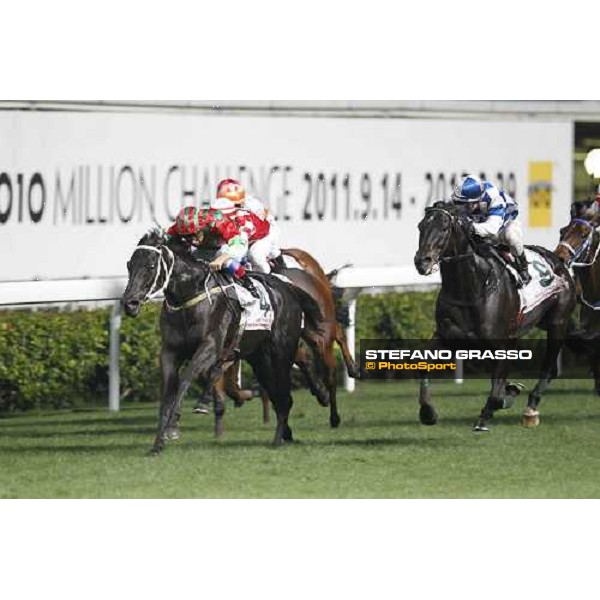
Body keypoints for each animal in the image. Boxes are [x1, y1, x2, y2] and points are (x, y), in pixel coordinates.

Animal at [119, 229, 322, 450]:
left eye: (150, 266)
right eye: (129, 265)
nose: (129, 303)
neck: (189, 296)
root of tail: (289, 288)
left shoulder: (210, 345)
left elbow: (186, 378)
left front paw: (173, 426)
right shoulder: (170, 352)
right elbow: (169, 392)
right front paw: (159, 441)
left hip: (281, 355)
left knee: (285, 396)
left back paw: (280, 437)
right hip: (260, 360)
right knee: (278, 395)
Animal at [412, 204, 576, 428]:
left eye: (445, 228)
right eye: (421, 226)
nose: (422, 261)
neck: (471, 289)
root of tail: (558, 260)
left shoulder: (505, 342)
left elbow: (497, 395)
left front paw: (489, 412)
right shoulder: (448, 337)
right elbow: (423, 365)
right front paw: (428, 411)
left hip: (557, 323)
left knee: (549, 369)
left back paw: (530, 409)